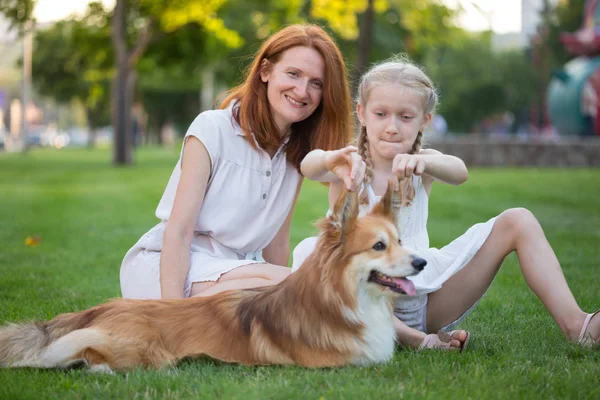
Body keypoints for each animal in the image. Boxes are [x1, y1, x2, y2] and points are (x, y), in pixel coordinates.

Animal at [0, 179, 426, 372]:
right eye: (378, 246)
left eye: (400, 241)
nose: (422, 263)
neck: (343, 300)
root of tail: (95, 310)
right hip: (142, 352)